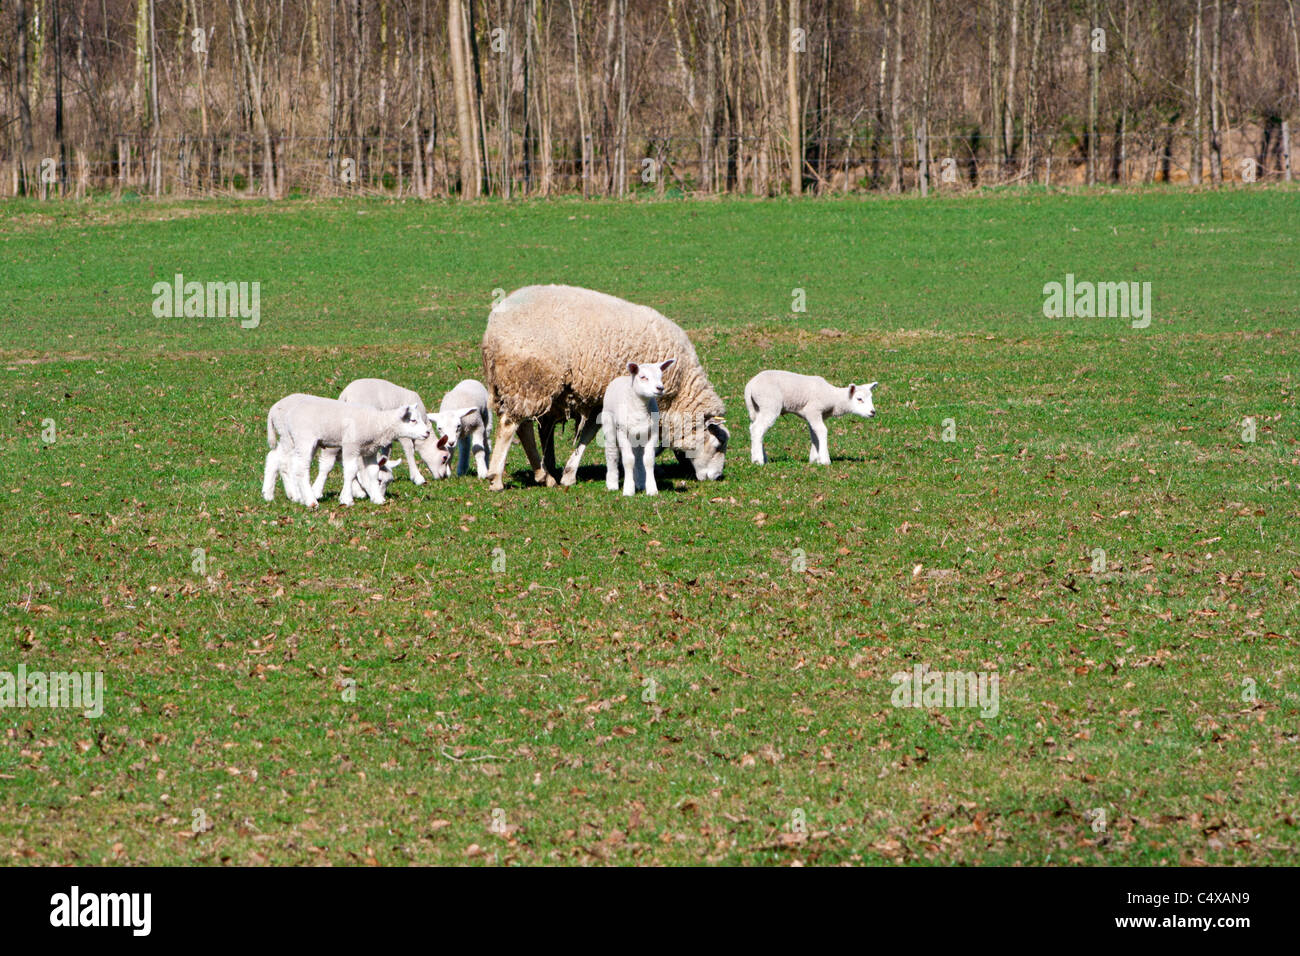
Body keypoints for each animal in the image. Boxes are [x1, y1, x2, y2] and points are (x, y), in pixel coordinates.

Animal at [263, 392, 431, 509]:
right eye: (413, 420)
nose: (428, 432)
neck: (376, 422)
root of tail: (274, 409)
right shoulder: (351, 446)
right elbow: (350, 471)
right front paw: (347, 499)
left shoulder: (369, 451)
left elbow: (372, 471)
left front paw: (377, 499)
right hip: (303, 439)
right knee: (298, 468)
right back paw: (309, 500)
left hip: (292, 440)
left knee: (277, 459)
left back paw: (271, 494)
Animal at [600, 361, 676, 502]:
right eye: (643, 377)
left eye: (661, 376)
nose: (660, 388)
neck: (640, 407)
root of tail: (621, 377)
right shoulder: (622, 432)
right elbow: (628, 460)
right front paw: (628, 490)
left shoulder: (653, 433)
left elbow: (648, 460)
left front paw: (652, 489)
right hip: (609, 423)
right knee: (612, 452)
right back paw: (612, 483)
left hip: (638, 436)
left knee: (639, 457)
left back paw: (640, 482)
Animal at [748, 371, 878, 465]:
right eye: (859, 399)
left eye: (871, 398)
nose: (873, 412)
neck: (833, 398)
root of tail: (750, 386)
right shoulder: (813, 410)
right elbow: (822, 431)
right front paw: (825, 460)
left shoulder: (814, 415)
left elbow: (814, 433)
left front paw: (814, 459)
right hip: (769, 404)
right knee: (757, 428)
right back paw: (758, 460)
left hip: (756, 408)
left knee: (755, 428)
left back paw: (762, 457)